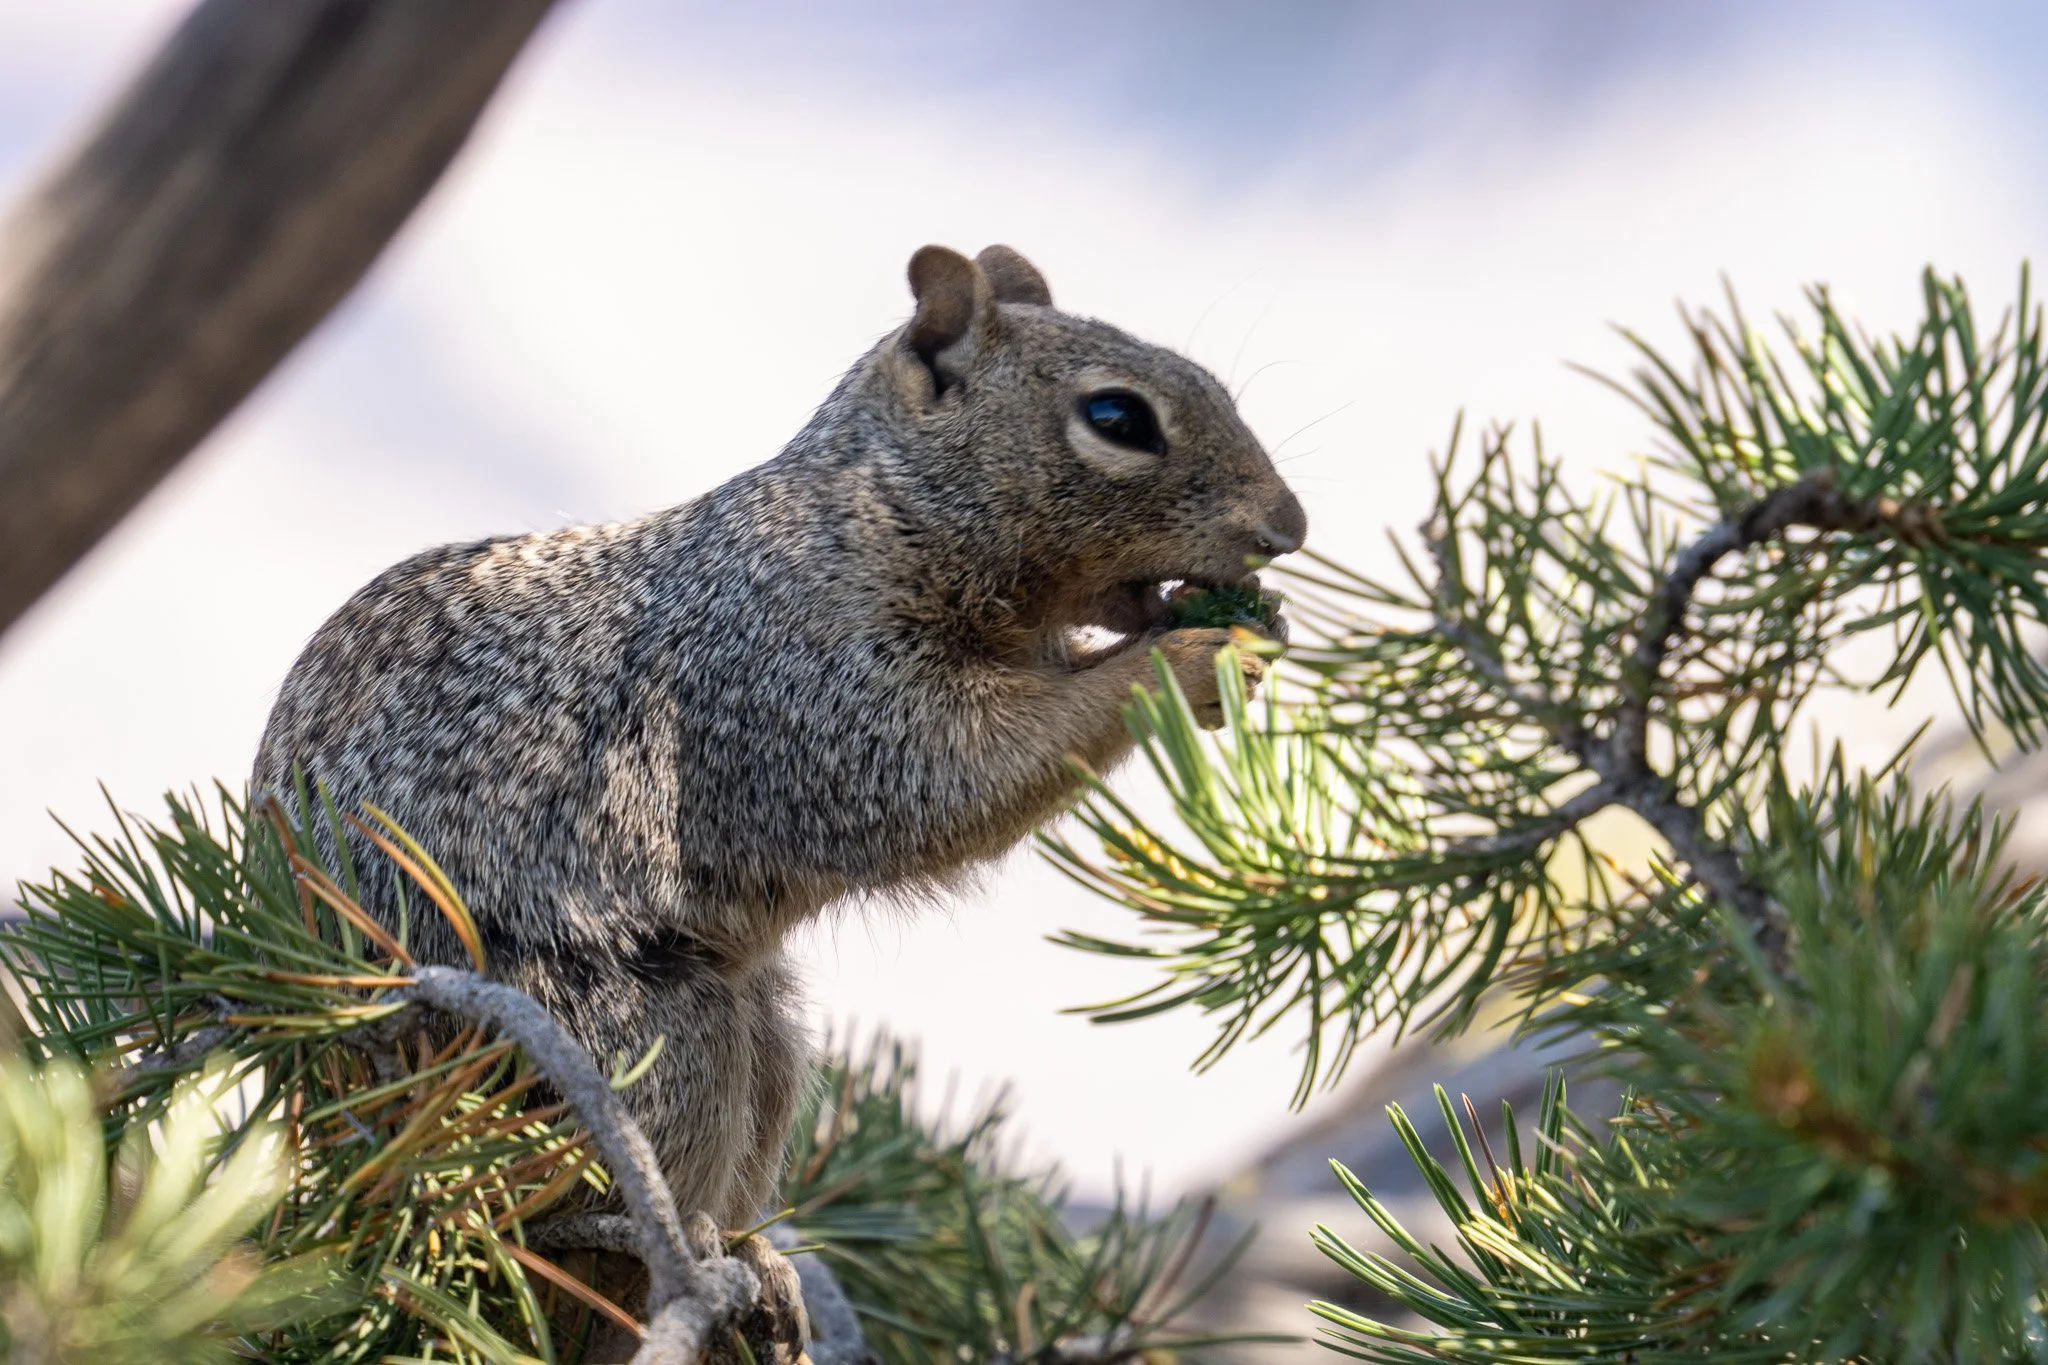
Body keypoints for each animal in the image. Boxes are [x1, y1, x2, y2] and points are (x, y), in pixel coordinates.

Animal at [252, 244, 1307, 1233]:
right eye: (1118, 418)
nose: (1288, 527)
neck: (870, 515)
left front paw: (1246, 632)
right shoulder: (799, 690)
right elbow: (956, 777)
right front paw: (1189, 656)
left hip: (765, 1034)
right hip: (629, 1034)